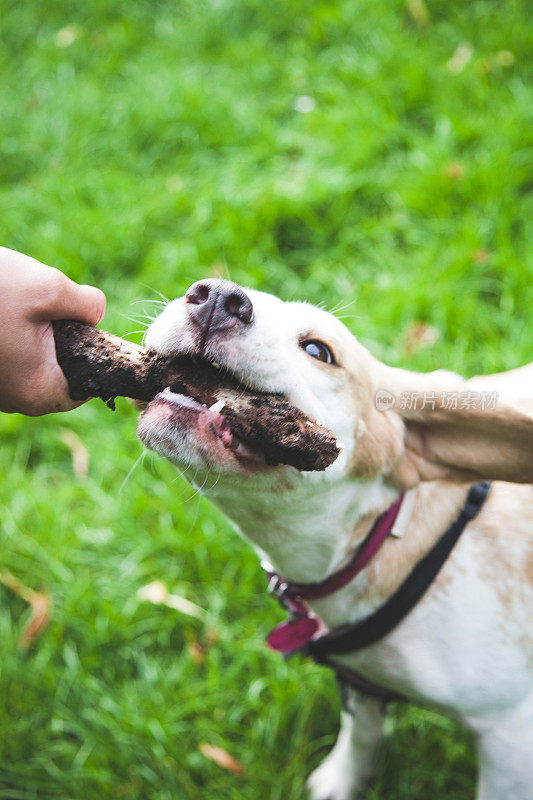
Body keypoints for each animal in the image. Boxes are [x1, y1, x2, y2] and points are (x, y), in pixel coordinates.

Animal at [136, 278, 532, 796]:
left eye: (318, 351)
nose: (218, 296)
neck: (385, 539)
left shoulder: (509, 734)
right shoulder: (358, 683)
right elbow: (361, 733)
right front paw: (342, 781)